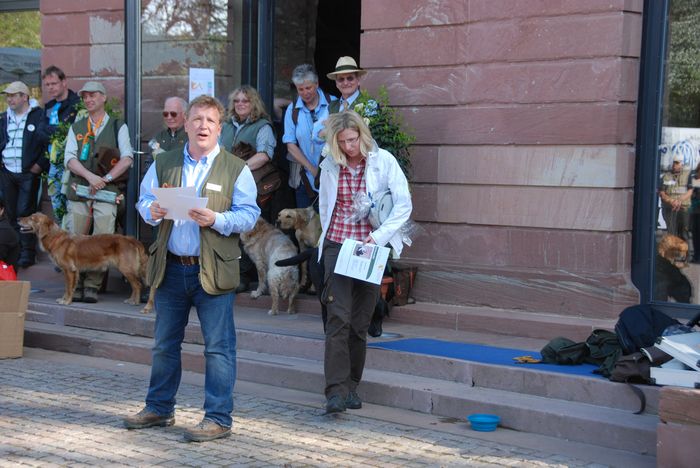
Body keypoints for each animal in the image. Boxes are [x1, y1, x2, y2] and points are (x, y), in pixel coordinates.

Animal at [18, 212, 154, 313]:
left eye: (31, 218)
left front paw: (66, 301)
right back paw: (131, 300)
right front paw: (64, 299)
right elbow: (68, 287)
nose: (18, 218)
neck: (54, 237)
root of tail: (131, 239)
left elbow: (68, 288)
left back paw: (135, 302)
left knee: (137, 285)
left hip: (125, 268)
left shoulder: (69, 270)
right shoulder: (70, 271)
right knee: (135, 285)